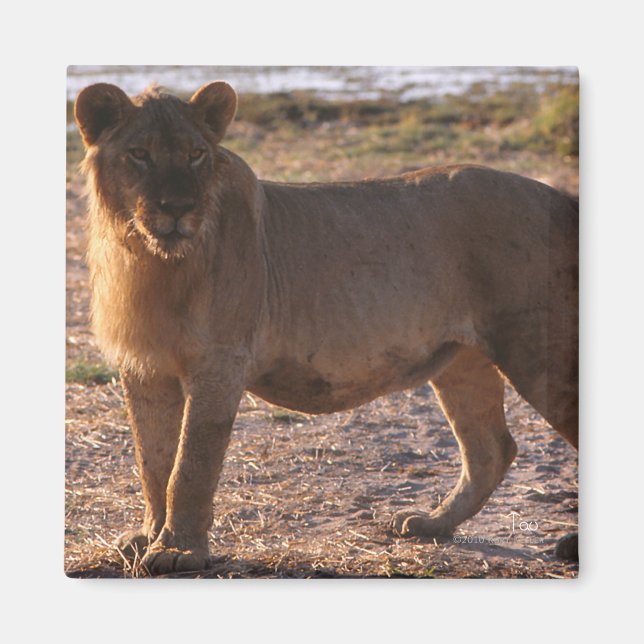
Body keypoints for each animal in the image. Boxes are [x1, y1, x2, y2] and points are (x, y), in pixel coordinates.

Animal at [74, 81, 578, 575]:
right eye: (139, 153)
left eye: (196, 153)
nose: (178, 208)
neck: (151, 259)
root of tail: (561, 197)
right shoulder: (145, 366)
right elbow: (153, 461)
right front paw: (147, 537)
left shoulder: (220, 363)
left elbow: (190, 466)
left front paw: (178, 550)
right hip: (462, 360)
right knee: (491, 448)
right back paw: (432, 524)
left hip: (538, 350)